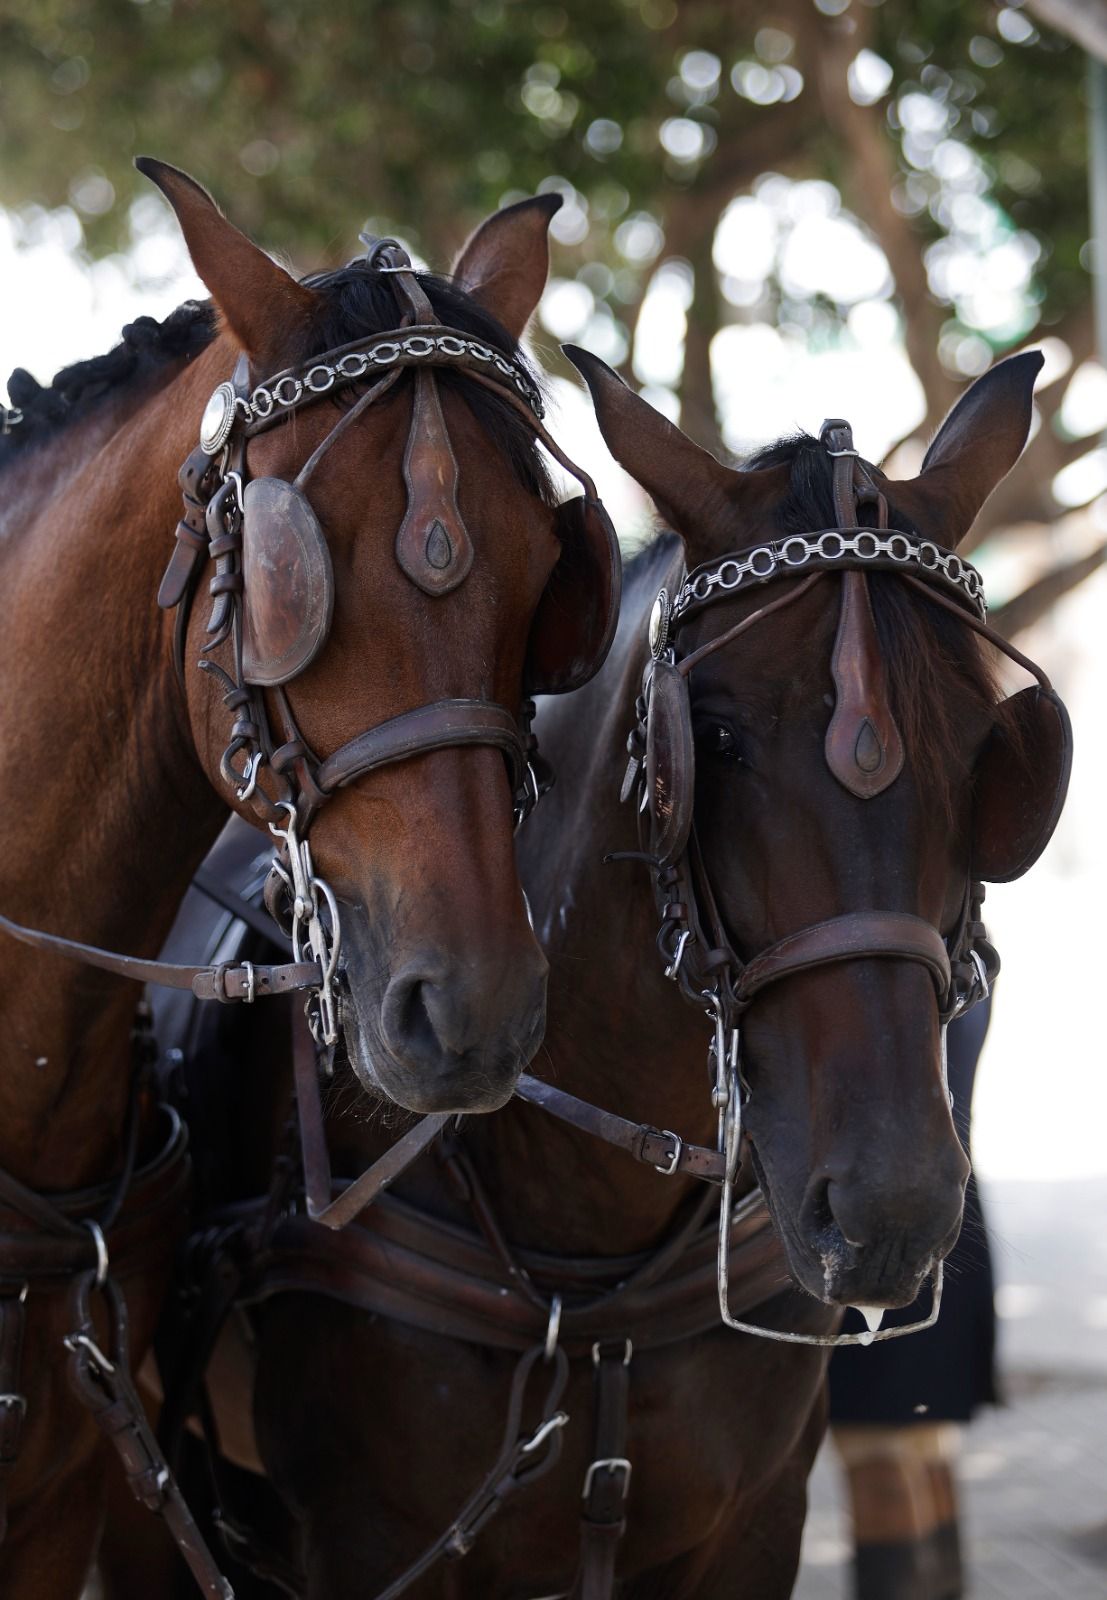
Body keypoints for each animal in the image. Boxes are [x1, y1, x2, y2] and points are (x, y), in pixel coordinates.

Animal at [219, 344, 1075, 1593]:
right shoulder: (362, 1540)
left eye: (991, 757)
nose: (893, 1206)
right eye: (709, 738)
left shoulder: (753, 1528)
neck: (593, 1260)